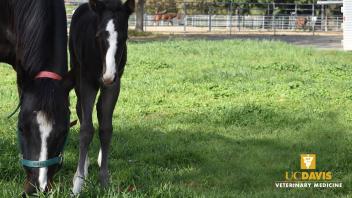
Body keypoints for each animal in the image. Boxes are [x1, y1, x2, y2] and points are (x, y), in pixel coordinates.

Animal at [69, 0, 135, 194]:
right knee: (80, 111)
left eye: (125, 37)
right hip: (77, 72)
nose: (107, 76)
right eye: (98, 36)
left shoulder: (115, 84)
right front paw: (78, 182)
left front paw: (105, 180)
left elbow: (106, 128)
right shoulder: (87, 81)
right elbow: (86, 129)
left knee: (99, 110)